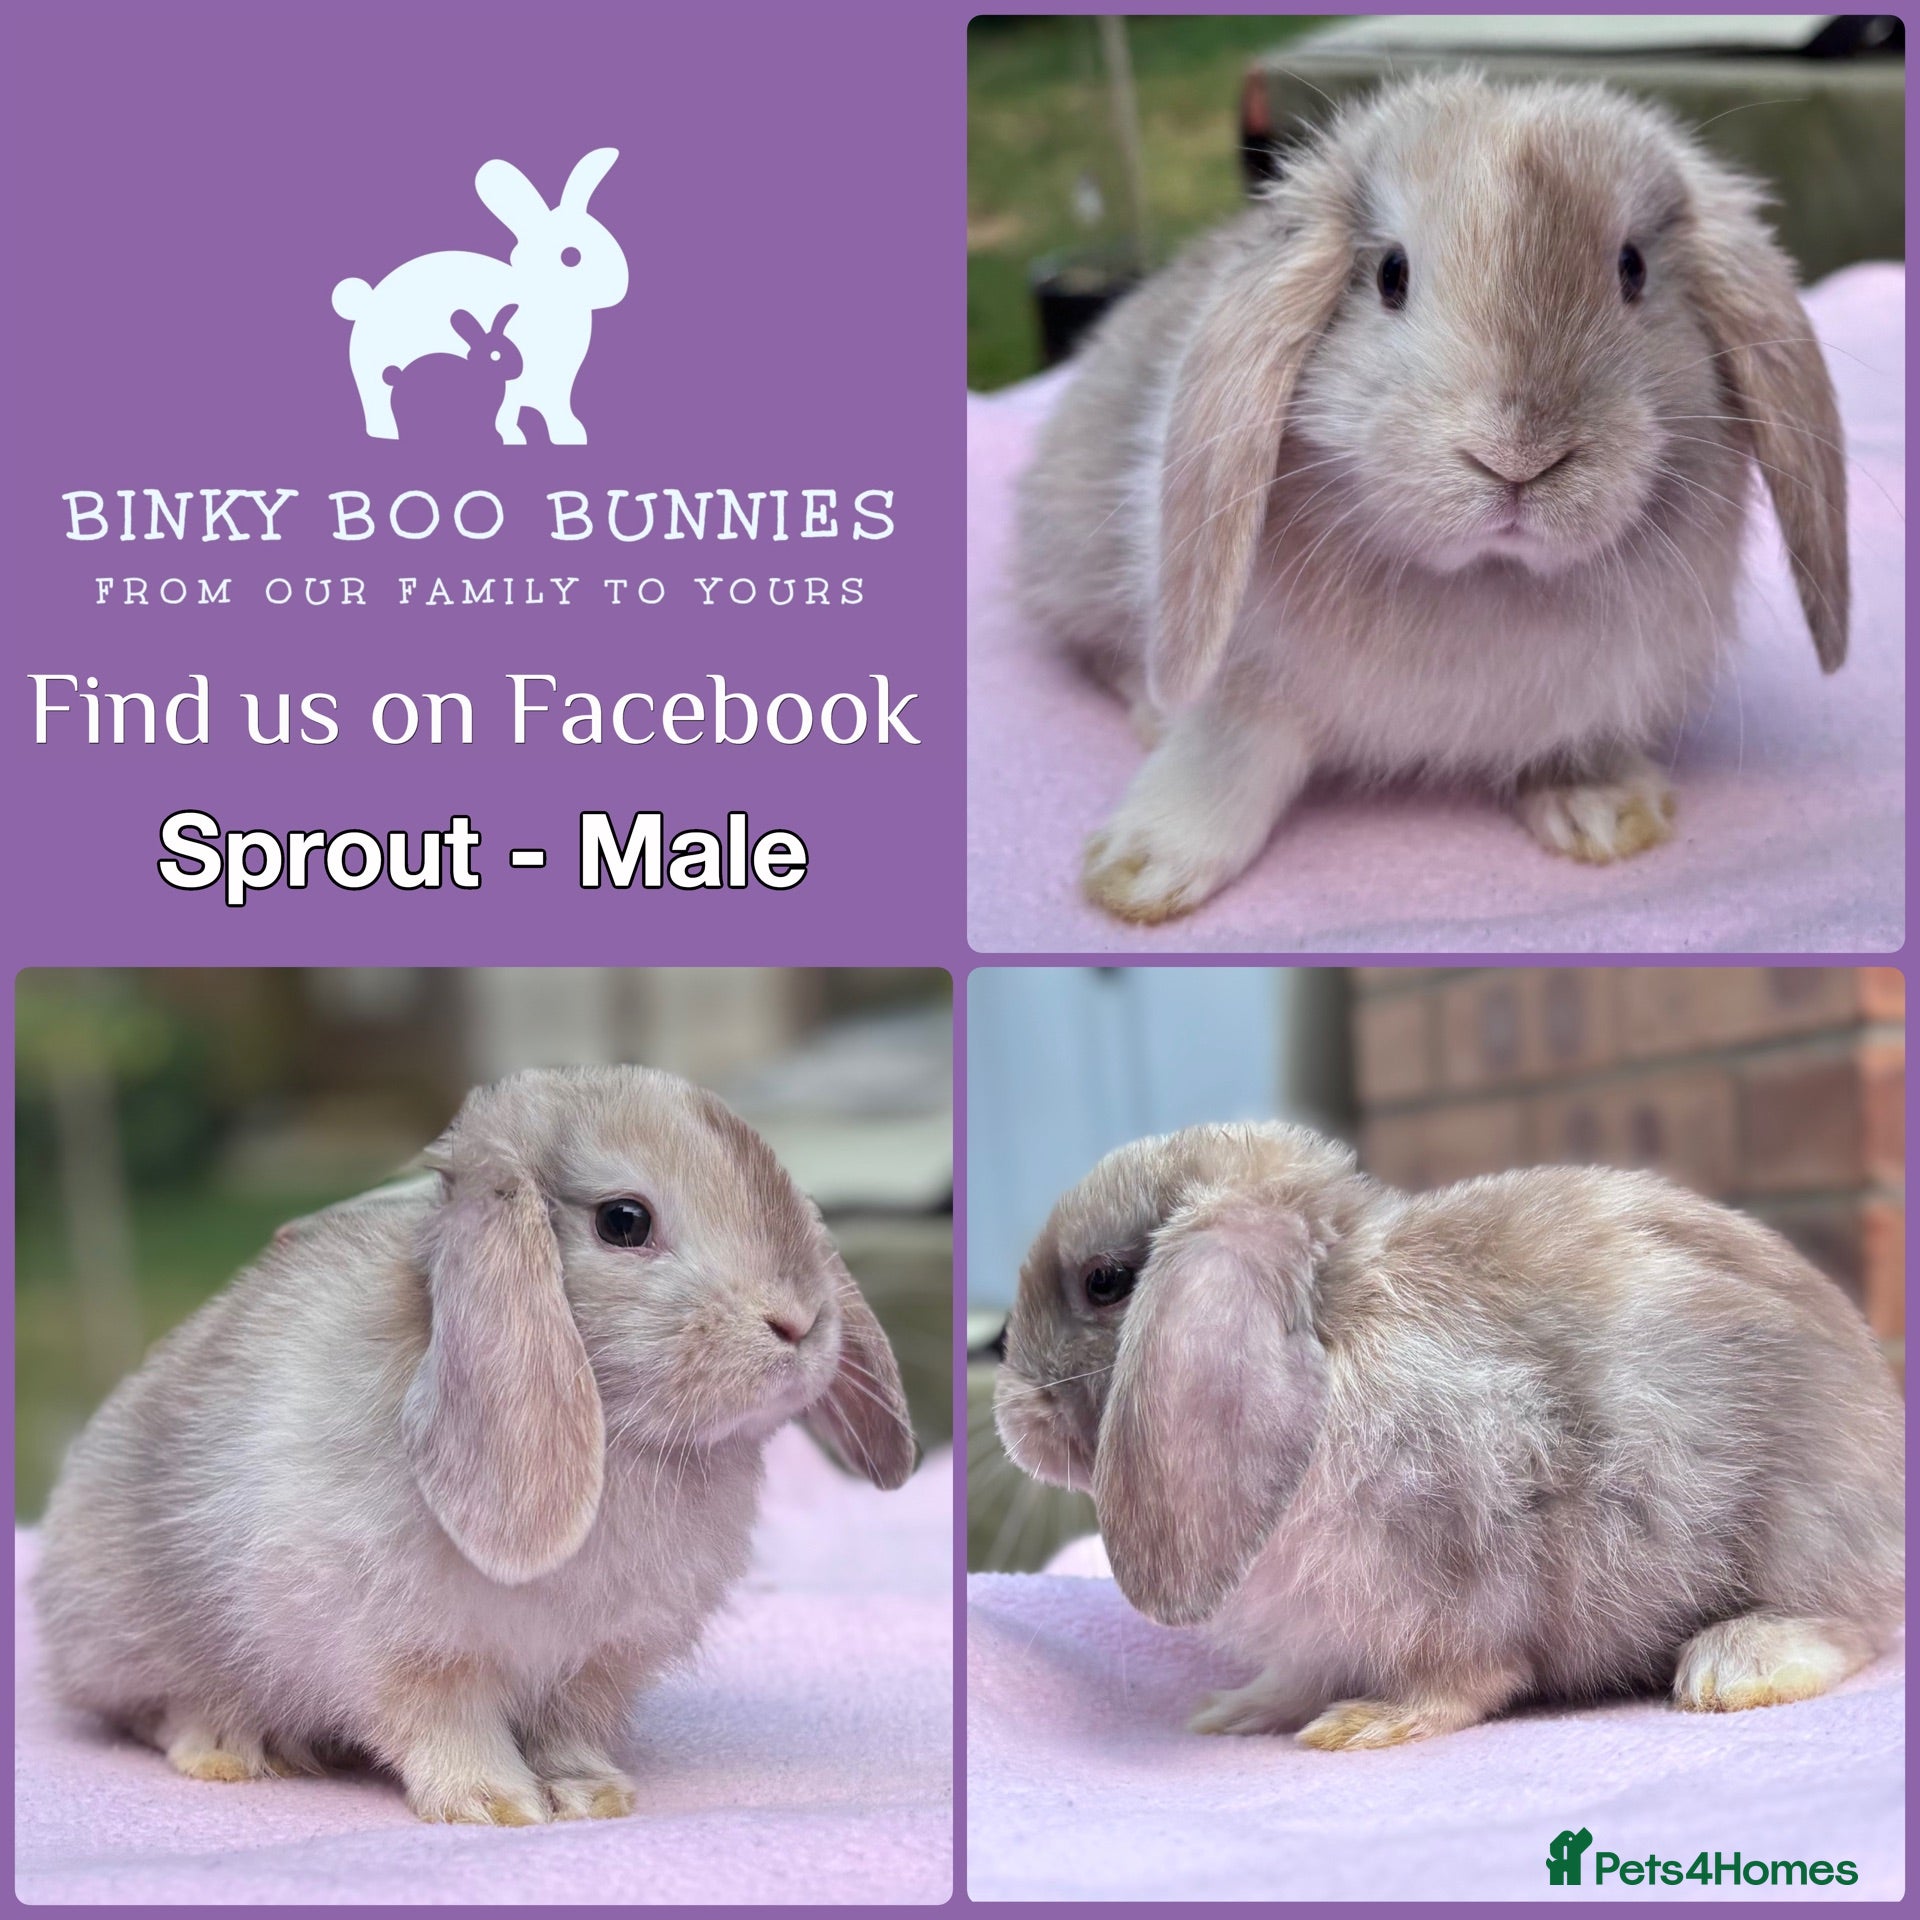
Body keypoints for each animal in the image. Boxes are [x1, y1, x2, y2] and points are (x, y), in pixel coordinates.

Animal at [33, 1066, 916, 1822]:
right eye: (623, 1221)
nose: (800, 1322)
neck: (623, 1445)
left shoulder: (597, 1664)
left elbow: (569, 1731)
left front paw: (592, 1795)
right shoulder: (403, 1650)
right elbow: (442, 1723)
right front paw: (493, 1804)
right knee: (152, 1709)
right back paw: (231, 1748)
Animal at [996, 1122, 1902, 1749]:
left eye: (1105, 1283)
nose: (1011, 1420)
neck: (1338, 1326)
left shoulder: (1459, 1556)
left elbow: (1462, 1676)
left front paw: (1366, 1724)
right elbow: (1295, 1675)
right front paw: (1235, 1711)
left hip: (1803, 1526)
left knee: (1856, 1624)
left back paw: (1733, 1666)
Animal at [1014, 75, 1849, 923]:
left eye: (1633, 269)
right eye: (1392, 274)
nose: (1518, 458)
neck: (1487, 575)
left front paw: (1605, 811)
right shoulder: (1248, 686)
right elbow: (1233, 755)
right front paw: (1141, 871)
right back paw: (1154, 715)